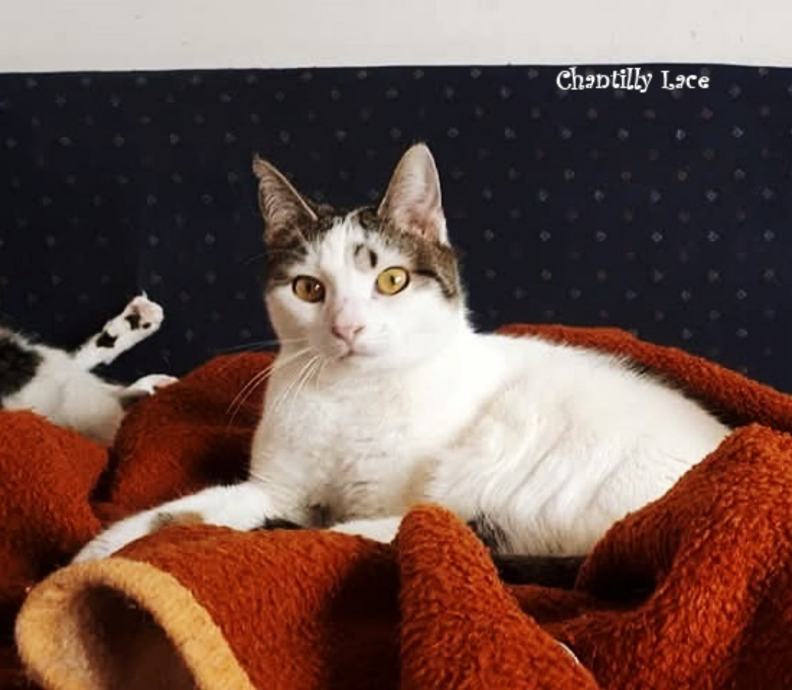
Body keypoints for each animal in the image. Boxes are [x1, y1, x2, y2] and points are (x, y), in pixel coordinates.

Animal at [74, 144, 730, 582]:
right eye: (309, 289)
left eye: (391, 280)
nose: (347, 327)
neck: (346, 397)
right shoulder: (277, 488)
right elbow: (180, 512)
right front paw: (94, 556)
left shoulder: (386, 504)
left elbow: (388, 529)